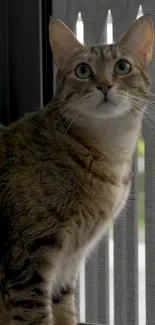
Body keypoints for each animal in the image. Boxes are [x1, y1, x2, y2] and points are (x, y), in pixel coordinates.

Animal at [0, 13, 154, 324]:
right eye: (83, 70)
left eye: (122, 66)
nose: (105, 85)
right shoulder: (27, 263)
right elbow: (36, 315)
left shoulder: (70, 262)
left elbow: (66, 311)